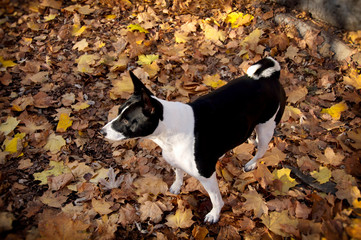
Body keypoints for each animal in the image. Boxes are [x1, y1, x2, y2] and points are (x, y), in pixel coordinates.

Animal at [100, 56, 284, 223]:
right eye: (118, 112)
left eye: (126, 121)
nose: (101, 131)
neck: (168, 131)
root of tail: (269, 77)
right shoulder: (176, 160)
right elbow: (178, 173)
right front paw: (177, 185)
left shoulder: (207, 176)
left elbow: (216, 198)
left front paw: (214, 214)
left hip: (266, 128)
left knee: (261, 150)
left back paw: (252, 163)